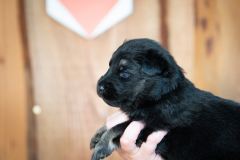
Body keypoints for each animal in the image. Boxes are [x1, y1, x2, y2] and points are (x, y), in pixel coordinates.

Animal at [90, 38, 240, 159]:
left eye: (125, 73)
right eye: (109, 66)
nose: (99, 87)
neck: (161, 97)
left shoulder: (155, 126)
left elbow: (117, 128)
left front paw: (102, 145)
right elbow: (113, 125)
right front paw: (98, 135)